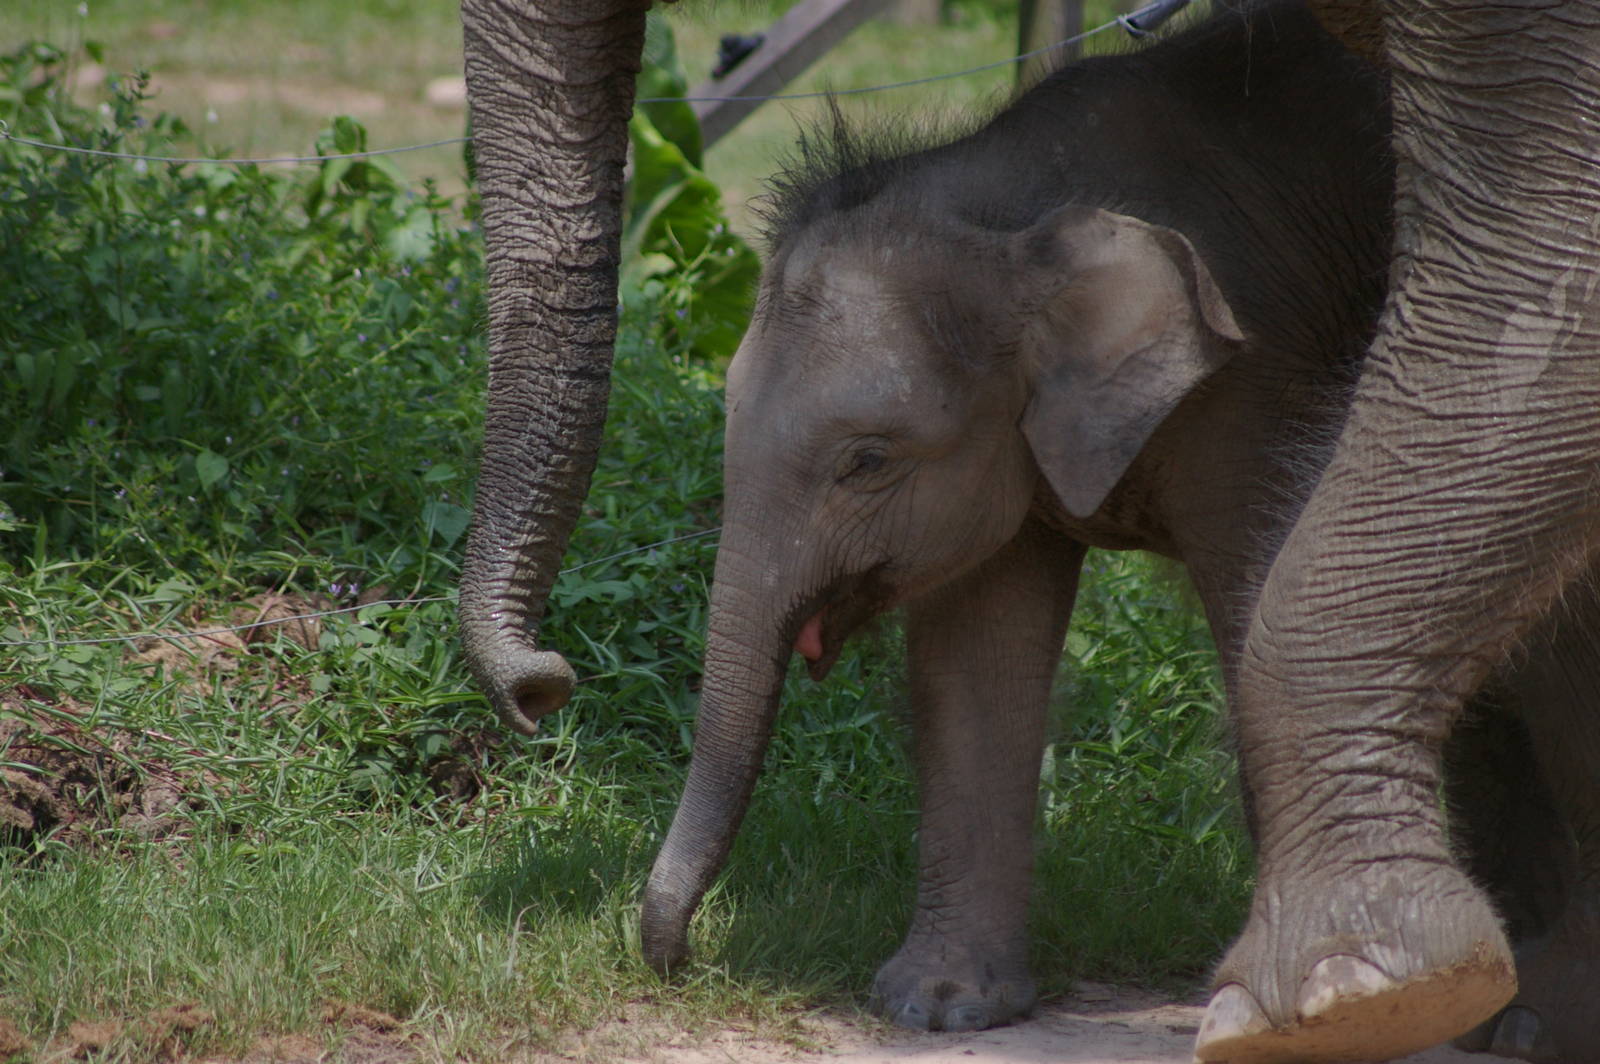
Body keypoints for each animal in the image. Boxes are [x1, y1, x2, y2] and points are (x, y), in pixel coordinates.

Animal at [456, 0, 1600, 1056]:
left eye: (866, 461)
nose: (675, 958)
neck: (1013, 202)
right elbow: (973, 650)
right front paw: (938, 1007)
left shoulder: (1252, 376)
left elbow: (1254, 588)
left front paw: (1305, 1007)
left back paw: (1520, 1014)